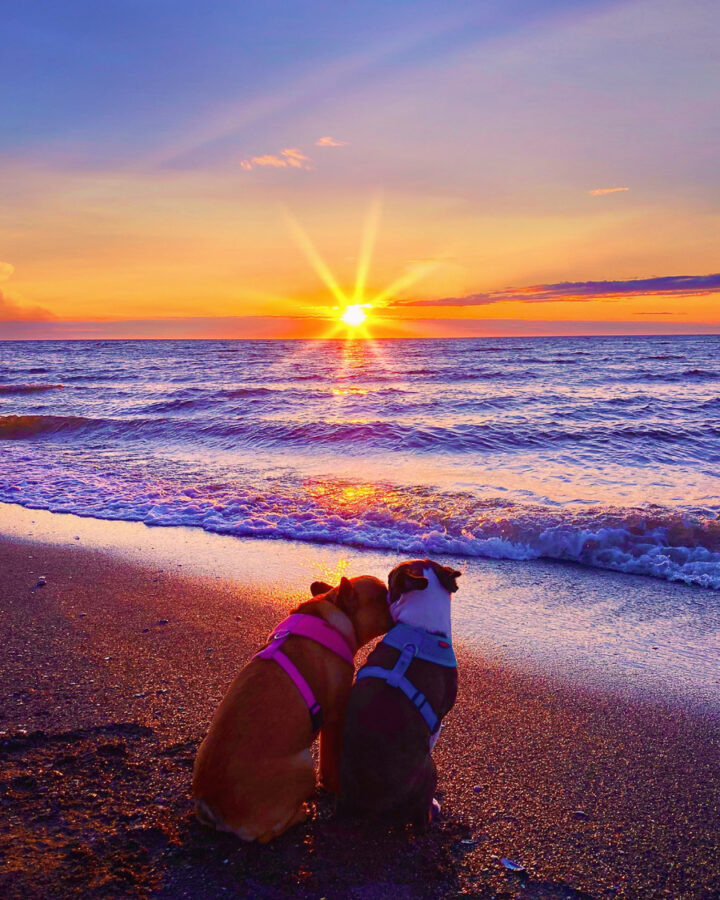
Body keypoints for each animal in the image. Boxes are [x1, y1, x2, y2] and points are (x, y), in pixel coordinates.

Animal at [191, 576, 390, 844]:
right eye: (383, 597)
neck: (334, 611)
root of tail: (211, 805)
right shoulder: (335, 718)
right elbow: (330, 761)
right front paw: (334, 787)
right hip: (304, 764)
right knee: (266, 835)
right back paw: (302, 813)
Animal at [338, 560, 462, 832]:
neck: (420, 630)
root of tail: (374, 806)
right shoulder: (438, 720)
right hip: (430, 769)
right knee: (421, 819)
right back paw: (432, 810)